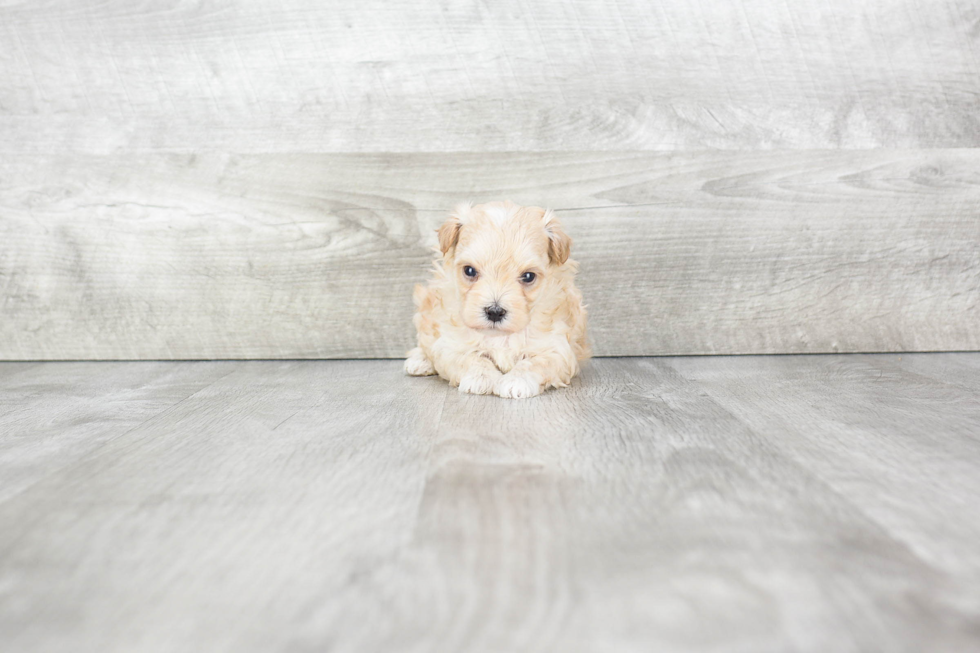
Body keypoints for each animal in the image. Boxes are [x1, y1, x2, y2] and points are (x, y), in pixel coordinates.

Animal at [400, 201, 584, 400]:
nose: (495, 312)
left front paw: (517, 381)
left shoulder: (557, 348)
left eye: (528, 276)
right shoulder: (452, 344)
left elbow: (536, 362)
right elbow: (471, 358)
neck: (500, 337)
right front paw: (481, 377)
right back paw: (420, 360)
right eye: (469, 270)